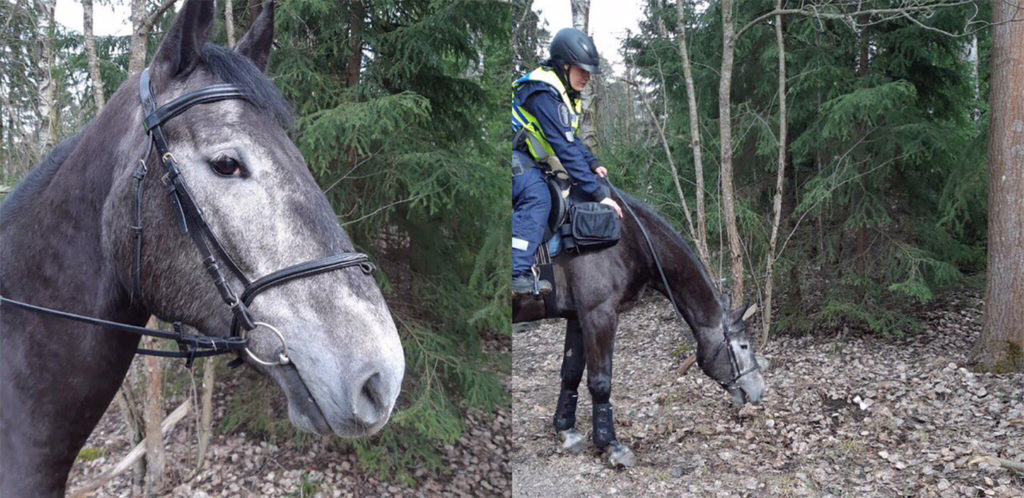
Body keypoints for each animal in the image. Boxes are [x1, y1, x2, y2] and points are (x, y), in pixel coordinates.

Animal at [516, 186, 765, 467]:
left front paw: (566, 430)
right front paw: (611, 445)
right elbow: (600, 381)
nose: (759, 389)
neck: (630, 237)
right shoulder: (598, 314)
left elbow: (571, 373)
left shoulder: (578, 317)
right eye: (743, 346)